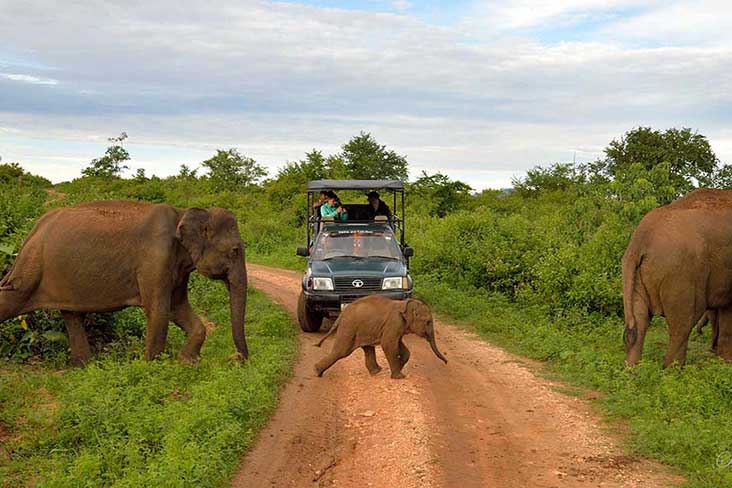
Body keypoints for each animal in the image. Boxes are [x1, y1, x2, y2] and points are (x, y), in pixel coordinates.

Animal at [0, 200, 249, 364]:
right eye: (236, 251)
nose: (236, 359)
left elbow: (177, 308)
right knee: (12, 299)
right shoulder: (155, 259)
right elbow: (158, 310)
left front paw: (189, 362)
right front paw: (154, 369)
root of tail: (34, 230)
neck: (183, 212)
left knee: (71, 316)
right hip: (31, 270)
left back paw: (84, 367)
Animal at [314, 296, 446, 380]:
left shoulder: (398, 326)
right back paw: (317, 371)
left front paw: (399, 368)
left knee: (367, 348)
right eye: (428, 322)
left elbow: (400, 345)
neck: (404, 304)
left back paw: (376, 371)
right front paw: (399, 377)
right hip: (349, 327)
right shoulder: (394, 322)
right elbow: (388, 344)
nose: (446, 362)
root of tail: (342, 314)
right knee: (341, 351)